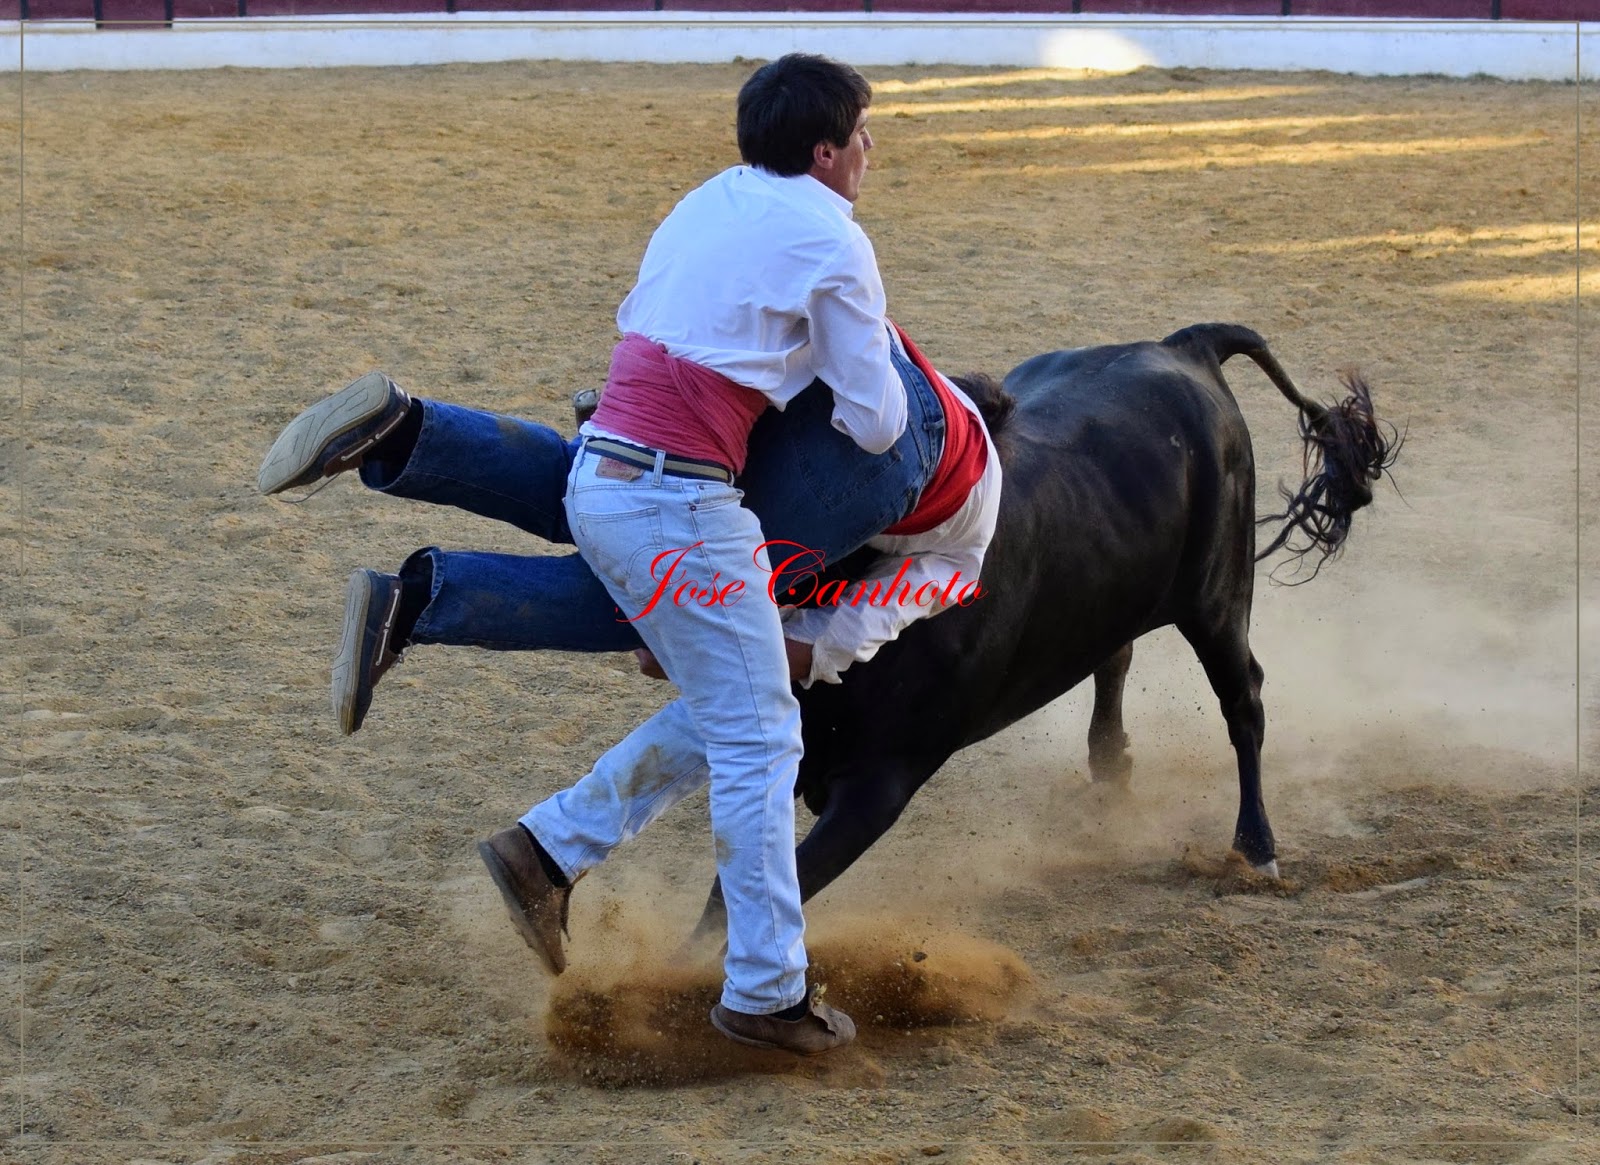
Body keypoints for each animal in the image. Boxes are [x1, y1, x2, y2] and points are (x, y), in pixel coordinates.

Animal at [689, 322, 1399, 938]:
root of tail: (1186, 345)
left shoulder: (879, 782)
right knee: (1116, 655)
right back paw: (1110, 769)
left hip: (1218, 597)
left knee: (1243, 696)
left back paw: (1255, 848)